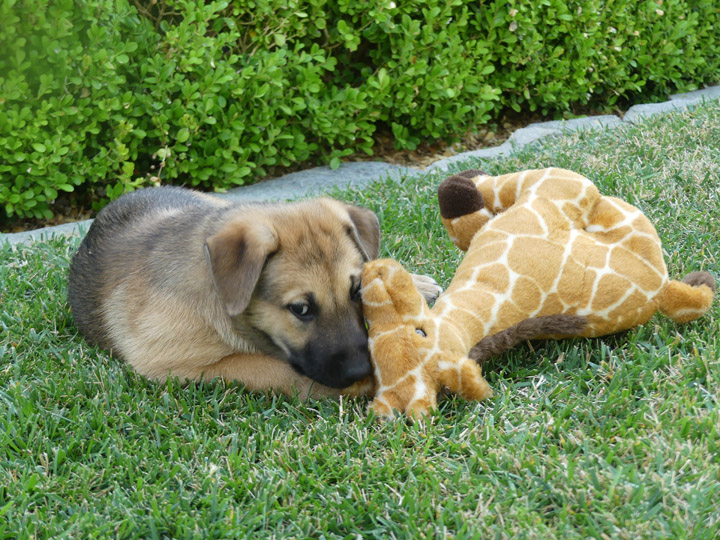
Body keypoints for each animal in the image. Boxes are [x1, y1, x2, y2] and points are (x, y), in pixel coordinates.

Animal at [69, 188, 444, 398]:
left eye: (355, 292)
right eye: (300, 309)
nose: (359, 371)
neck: (216, 293)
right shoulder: (170, 363)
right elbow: (267, 367)